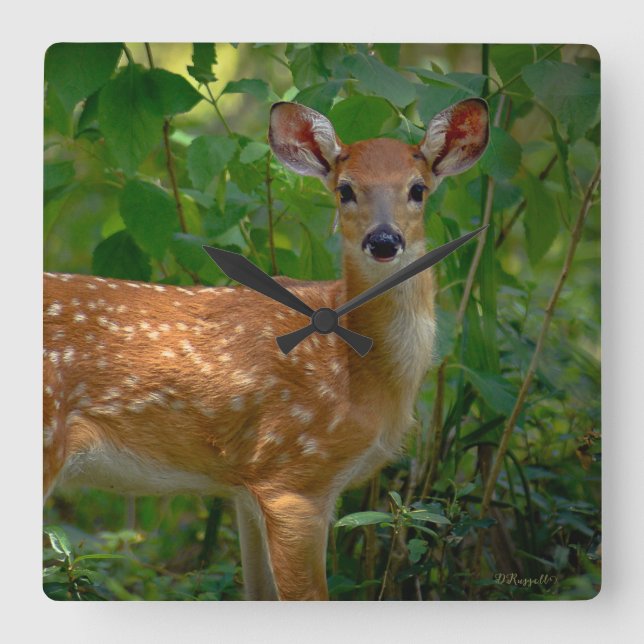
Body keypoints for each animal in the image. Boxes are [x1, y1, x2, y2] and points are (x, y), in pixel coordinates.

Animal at [43, 98, 489, 600]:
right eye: (345, 190)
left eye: (417, 189)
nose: (383, 240)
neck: (362, 374)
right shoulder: (294, 475)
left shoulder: (246, 485)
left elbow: (257, 591)